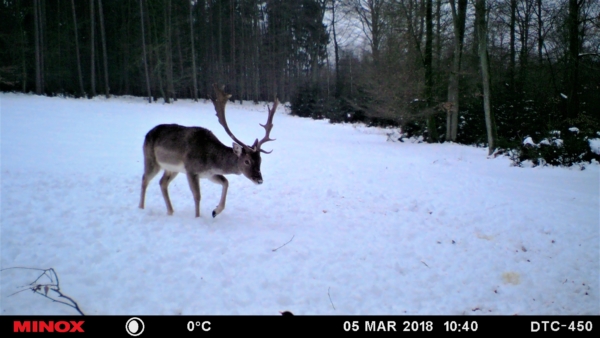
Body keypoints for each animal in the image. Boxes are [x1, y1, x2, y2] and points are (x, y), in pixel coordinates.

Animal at [138, 83, 276, 218]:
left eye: (260, 160)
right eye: (247, 161)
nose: (259, 179)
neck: (210, 160)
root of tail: (147, 134)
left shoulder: (209, 174)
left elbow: (226, 182)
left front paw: (215, 211)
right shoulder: (191, 170)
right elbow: (197, 196)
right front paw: (198, 218)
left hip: (172, 168)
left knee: (162, 183)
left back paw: (170, 211)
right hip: (150, 159)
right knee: (145, 179)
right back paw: (141, 208)